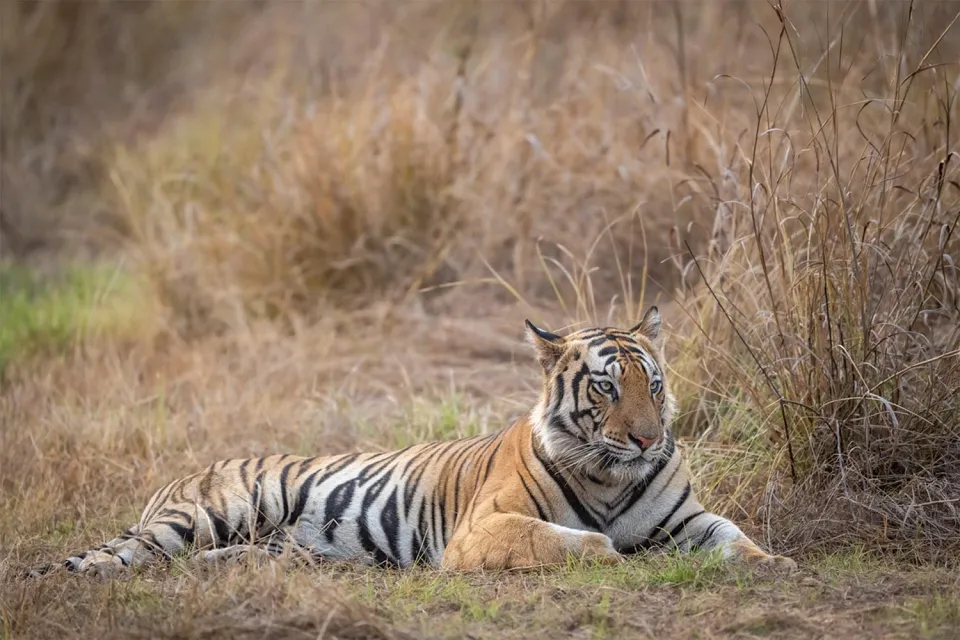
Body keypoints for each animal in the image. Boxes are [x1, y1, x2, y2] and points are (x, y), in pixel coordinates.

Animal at [27, 307, 796, 579]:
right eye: (607, 387)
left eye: (654, 386)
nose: (645, 438)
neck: (612, 475)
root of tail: (186, 472)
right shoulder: (485, 527)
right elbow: (573, 541)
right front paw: (611, 552)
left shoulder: (689, 519)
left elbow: (735, 536)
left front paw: (778, 564)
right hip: (205, 514)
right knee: (119, 552)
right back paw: (71, 577)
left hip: (256, 540)